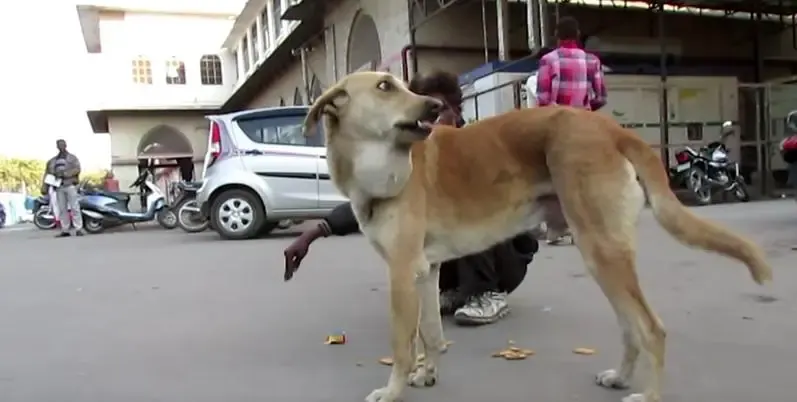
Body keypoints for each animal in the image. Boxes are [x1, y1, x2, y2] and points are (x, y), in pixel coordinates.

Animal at [300, 72, 772, 402]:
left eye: (399, 85)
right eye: (385, 86)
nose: (433, 107)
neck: (376, 161)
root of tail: (612, 129)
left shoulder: (401, 273)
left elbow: (401, 344)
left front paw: (393, 390)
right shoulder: (425, 271)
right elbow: (431, 334)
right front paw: (428, 374)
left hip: (602, 251)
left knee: (652, 329)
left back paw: (650, 394)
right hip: (602, 255)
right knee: (630, 328)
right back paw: (620, 377)